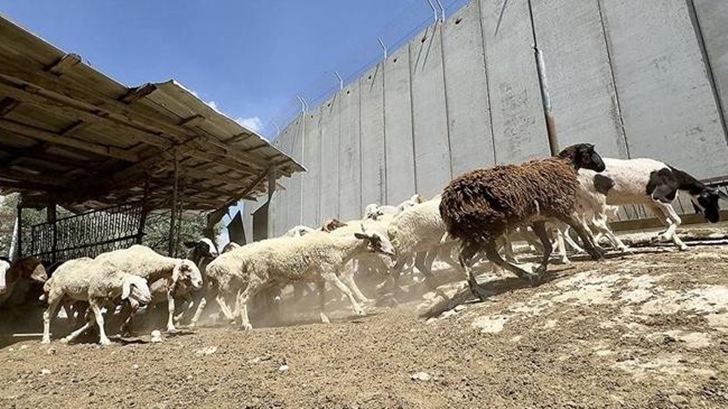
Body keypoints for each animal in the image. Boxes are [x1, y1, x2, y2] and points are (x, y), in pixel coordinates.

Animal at [440, 143, 604, 300]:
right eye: (591, 151)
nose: (602, 166)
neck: (564, 164)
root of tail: (448, 204)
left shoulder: (538, 219)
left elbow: (548, 246)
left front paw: (540, 270)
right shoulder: (562, 208)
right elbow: (578, 227)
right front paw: (595, 253)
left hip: (475, 231)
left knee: (478, 256)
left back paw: (518, 278)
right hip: (485, 227)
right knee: (475, 256)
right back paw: (483, 290)